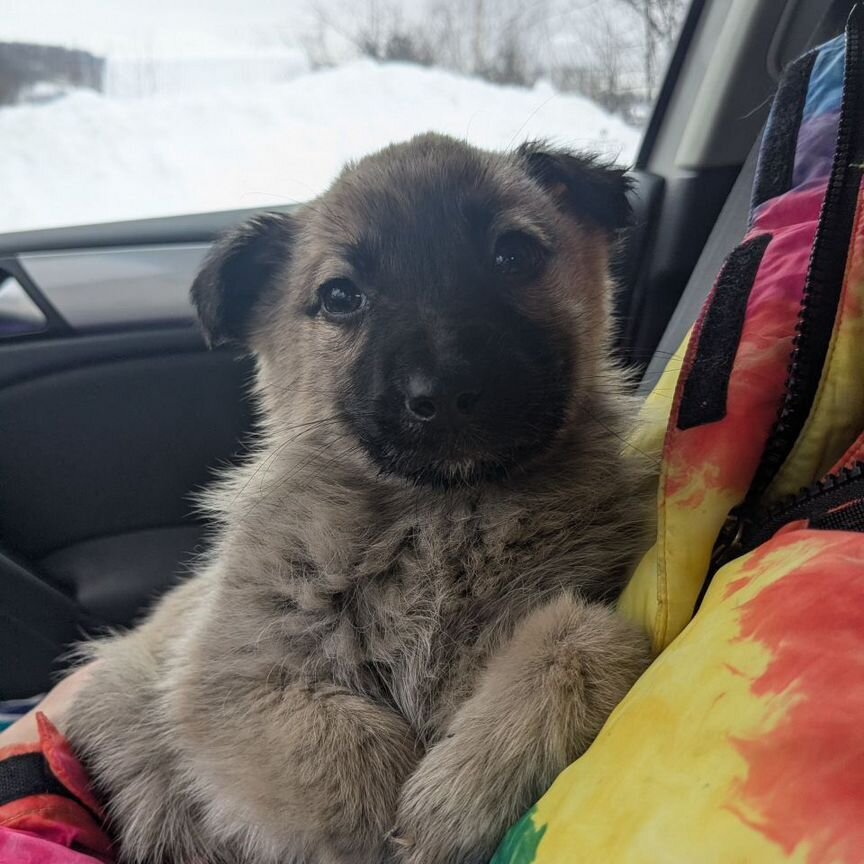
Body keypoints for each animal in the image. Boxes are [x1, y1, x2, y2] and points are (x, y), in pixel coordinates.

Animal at [67, 135, 656, 864]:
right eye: (340, 296)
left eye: (513, 254)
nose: (447, 390)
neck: (442, 518)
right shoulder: (226, 680)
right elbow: (346, 757)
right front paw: (390, 825)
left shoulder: (590, 612)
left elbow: (587, 642)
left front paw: (457, 795)